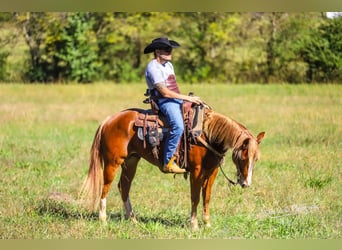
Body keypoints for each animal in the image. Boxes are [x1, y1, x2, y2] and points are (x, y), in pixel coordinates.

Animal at [79, 106, 264, 229]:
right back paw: (103, 219)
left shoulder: (212, 172)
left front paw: (207, 224)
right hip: (112, 162)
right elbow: (195, 197)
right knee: (105, 187)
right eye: (243, 156)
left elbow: (207, 198)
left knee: (123, 187)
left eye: (256, 159)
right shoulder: (196, 171)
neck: (206, 134)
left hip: (131, 161)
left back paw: (133, 219)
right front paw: (194, 225)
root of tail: (109, 120)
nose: (246, 183)